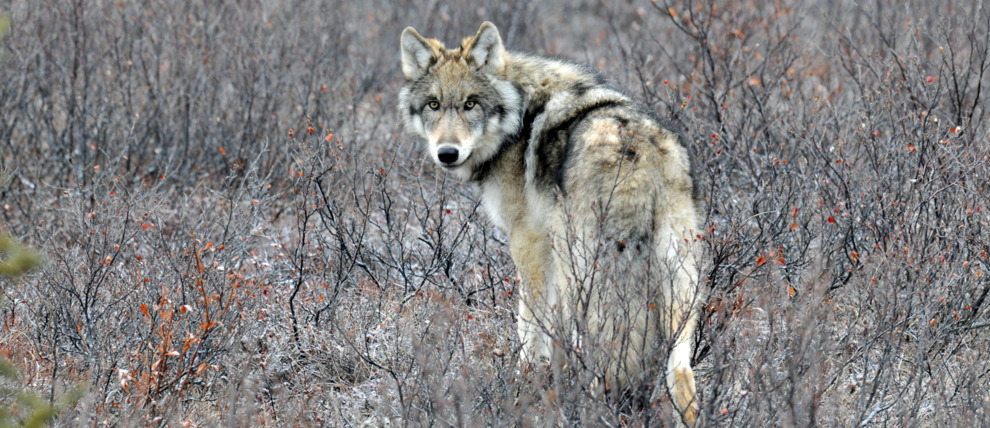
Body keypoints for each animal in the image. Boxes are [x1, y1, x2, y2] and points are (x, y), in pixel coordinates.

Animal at [398, 20, 704, 424]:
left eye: (470, 103)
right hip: (680, 288)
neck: (519, 114)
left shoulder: (528, 241)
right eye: (433, 104)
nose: (447, 153)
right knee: (682, 374)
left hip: (586, 276)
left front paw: (522, 386)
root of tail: (638, 152)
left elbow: (530, 327)